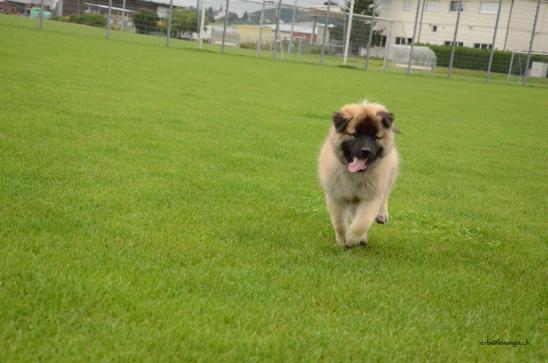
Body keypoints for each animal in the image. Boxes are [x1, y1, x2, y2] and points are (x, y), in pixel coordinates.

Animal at [316, 101, 398, 249]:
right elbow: (339, 222)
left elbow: (362, 222)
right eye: (355, 135)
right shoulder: (336, 197)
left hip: (389, 175)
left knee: (385, 195)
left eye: (375, 137)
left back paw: (381, 215)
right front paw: (342, 240)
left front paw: (351, 239)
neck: (354, 175)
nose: (365, 151)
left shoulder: (370, 197)